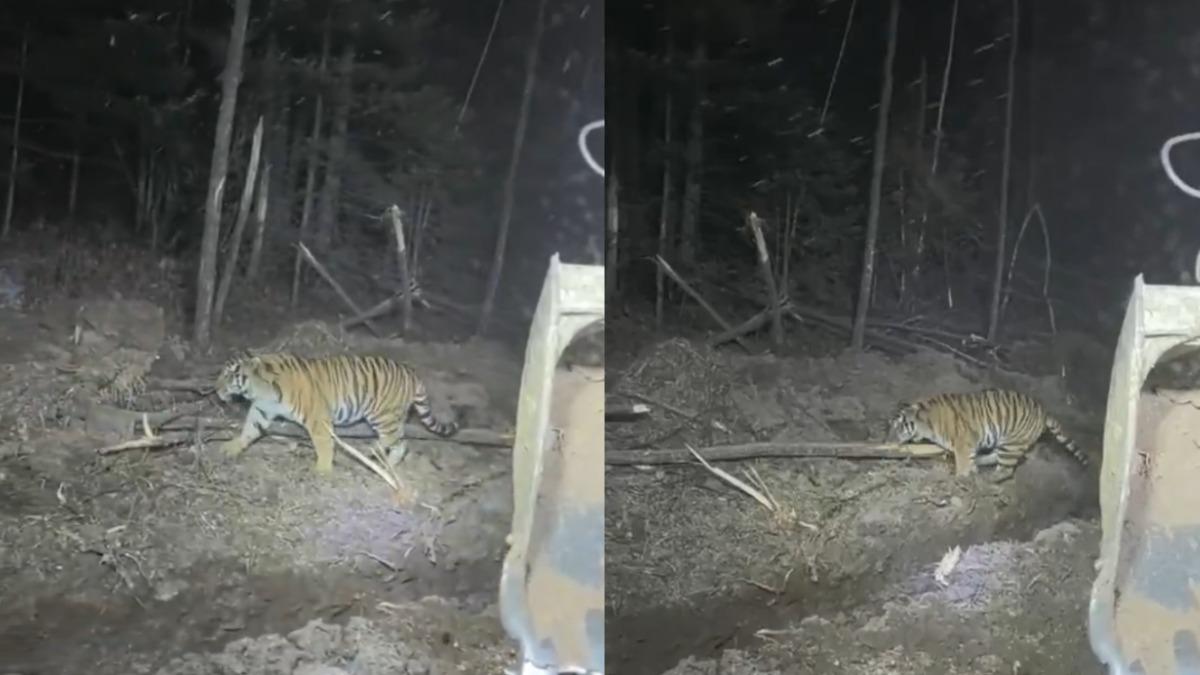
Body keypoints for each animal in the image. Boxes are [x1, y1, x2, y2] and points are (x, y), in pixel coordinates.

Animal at [214, 352, 459, 474]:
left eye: (230, 375)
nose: (216, 389)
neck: (259, 390)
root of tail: (411, 373)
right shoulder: (261, 410)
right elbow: (249, 430)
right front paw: (230, 448)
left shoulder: (317, 419)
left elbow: (323, 445)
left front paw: (322, 469)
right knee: (396, 441)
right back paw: (377, 457)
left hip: (384, 416)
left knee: (398, 442)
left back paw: (379, 458)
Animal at [885, 388, 1089, 483]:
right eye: (888, 427)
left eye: (899, 427)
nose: (888, 441)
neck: (925, 422)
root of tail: (1044, 410)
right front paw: (971, 470)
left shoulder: (963, 443)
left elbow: (963, 463)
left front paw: (960, 477)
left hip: (1011, 442)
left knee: (1006, 470)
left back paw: (988, 480)